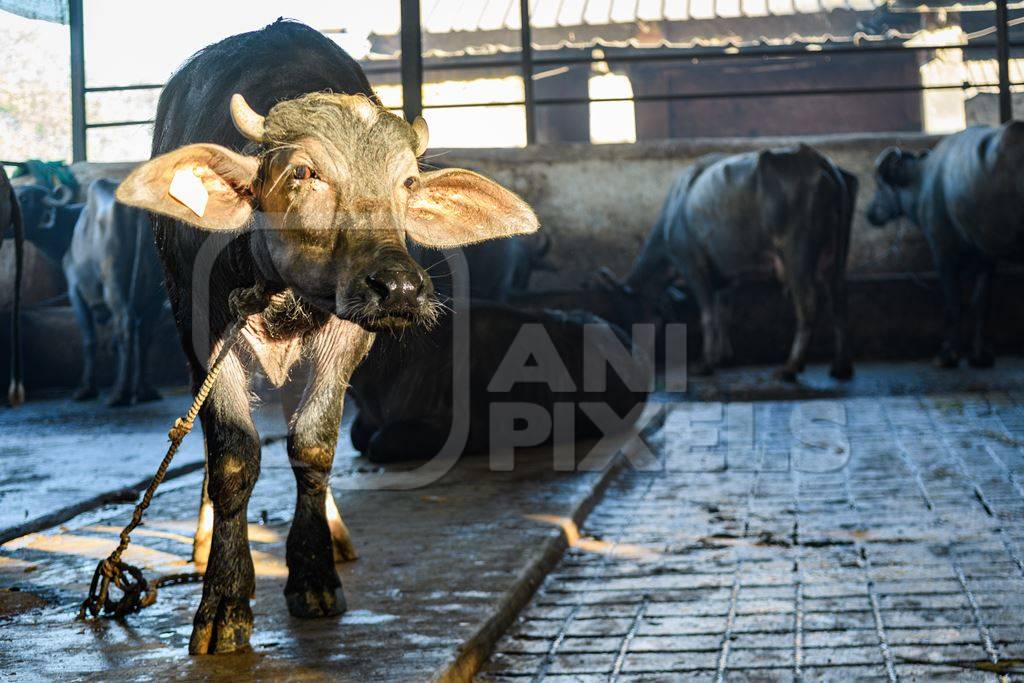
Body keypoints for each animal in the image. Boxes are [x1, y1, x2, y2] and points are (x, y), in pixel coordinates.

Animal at [114, 18, 536, 655]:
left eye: (406, 181)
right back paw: (204, 540)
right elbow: (233, 456)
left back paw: (334, 535)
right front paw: (224, 601)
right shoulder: (205, 329)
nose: (400, 287)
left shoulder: (347, 335)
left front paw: (313, 574)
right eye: (304, 173)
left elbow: (313, 445)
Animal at [614, 144, 856, 382]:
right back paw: (840, 366)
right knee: (838, 300)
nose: (633, 349)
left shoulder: (693, 265)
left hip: (798, 255)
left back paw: (791, 367)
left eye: (631, 311)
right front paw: (722, 356)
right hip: (836, 257)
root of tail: (816, 158)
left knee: (807, 305)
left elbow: (708, 314)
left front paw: (705, 363)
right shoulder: (726, 276)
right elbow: (724, 311)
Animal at [864, 122, 1024, 368]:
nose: (870, 213)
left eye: (880, 185)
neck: (922, 182)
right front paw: (979, 355)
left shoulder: (943, 255)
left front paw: (948, 354)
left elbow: (953, 304)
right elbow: (981, 303)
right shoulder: (986, 256)